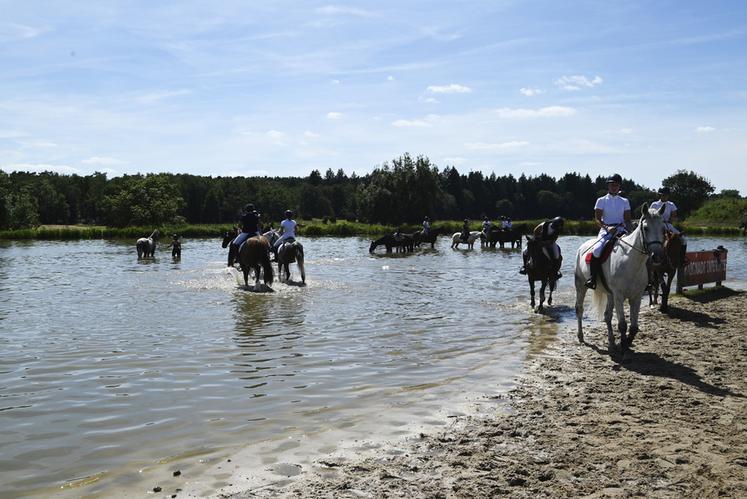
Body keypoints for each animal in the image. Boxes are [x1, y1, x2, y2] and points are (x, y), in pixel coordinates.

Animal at [574, 203, 666, 361]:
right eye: (646, 228)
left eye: (663, 229)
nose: (657, 256)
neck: (629, 260)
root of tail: (582, 247)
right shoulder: (619, 295)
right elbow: (622, 324)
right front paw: (624, 351)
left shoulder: (636, 297)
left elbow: (634, 327)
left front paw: (627, 344)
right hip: (581, 286)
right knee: (579, 309)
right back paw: (581, 336)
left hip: (609, 294)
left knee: (607, 316)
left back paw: (611, 343)